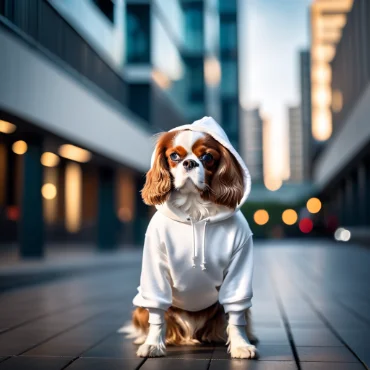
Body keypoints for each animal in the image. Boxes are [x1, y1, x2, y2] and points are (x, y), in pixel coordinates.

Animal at [121, 116, 258, 358]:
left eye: (207, 157)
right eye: (174, 156)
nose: (189, 163)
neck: (195, 211)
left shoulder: (240, 262)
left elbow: (236, 315)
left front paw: (241, 345)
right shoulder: (155, 266)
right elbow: (157, 315)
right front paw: (152, 344)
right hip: (140, 306)